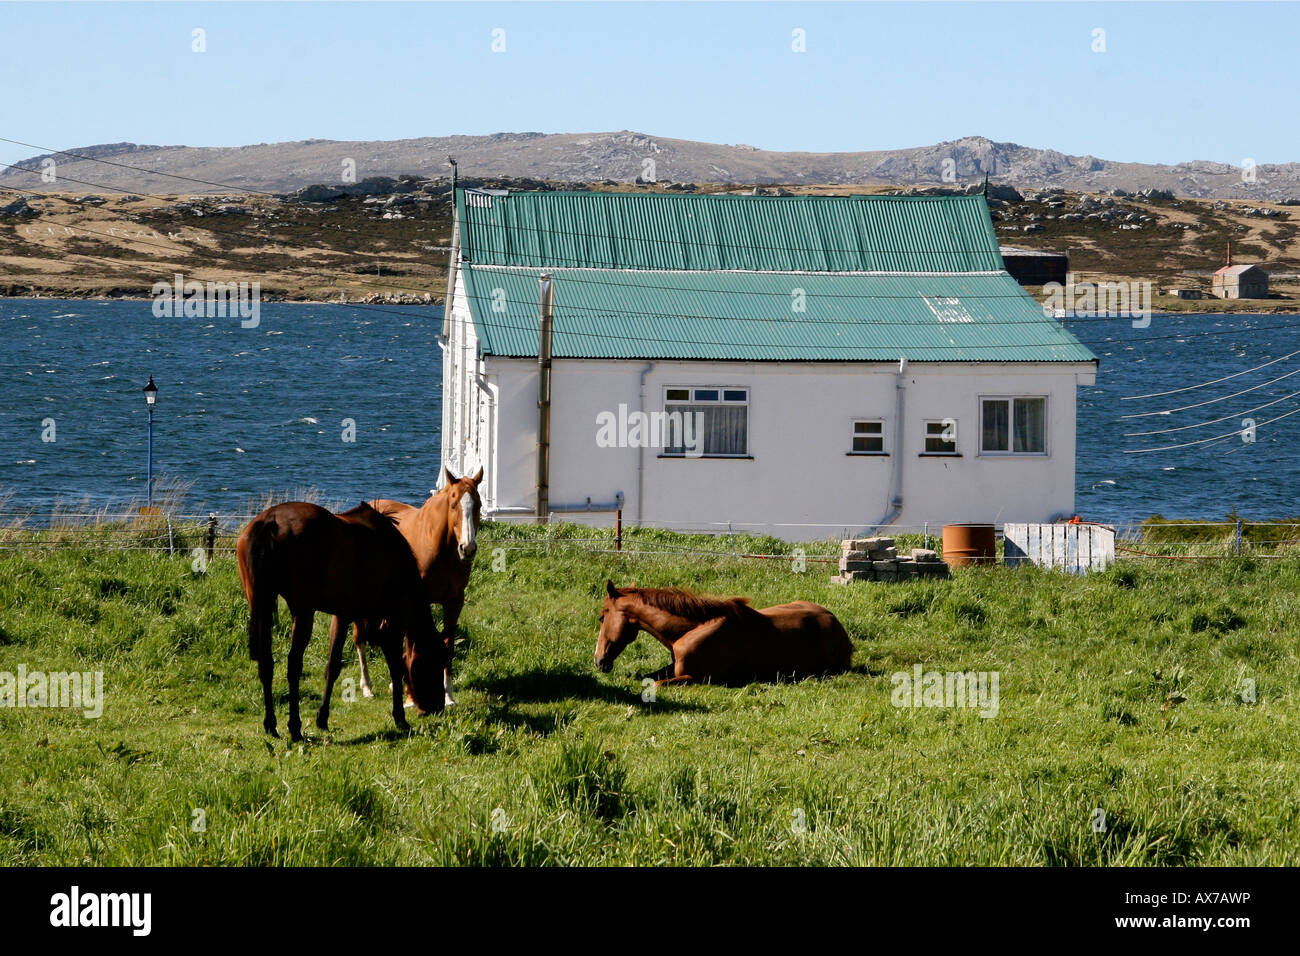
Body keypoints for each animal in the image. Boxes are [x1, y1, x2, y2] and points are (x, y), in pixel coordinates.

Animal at [239, 502, 447, 738]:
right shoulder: (389, 621)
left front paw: (322, 718)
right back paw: (295, 727)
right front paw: (400, 718)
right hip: (303, 612)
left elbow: (332, 667)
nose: (437, 707)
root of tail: (270, 520)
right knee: (293, 666)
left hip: (262, 605)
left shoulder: (342, 616)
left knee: (266, 663)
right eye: (437, 662)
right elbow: (395, 666)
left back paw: (271, 724)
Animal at [348, 468, 486, 707]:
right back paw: (367, 687)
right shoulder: (414, 602)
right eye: (453, 504)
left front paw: (448, 696)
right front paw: (411, 698)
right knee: (360, 637)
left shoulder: (454, 602)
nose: (467, 548)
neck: (439, 548)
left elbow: (448, 646)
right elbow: (412, 645)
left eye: (477, 504)